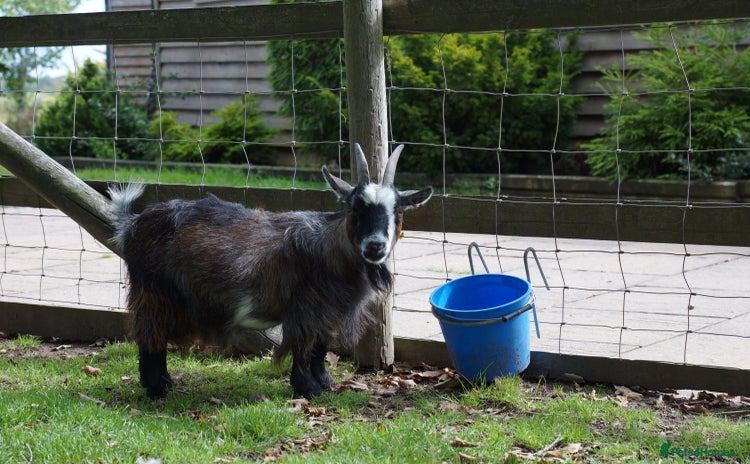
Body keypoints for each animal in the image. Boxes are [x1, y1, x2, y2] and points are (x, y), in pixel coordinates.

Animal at [107, 144, 432, 398]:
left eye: (398, 211)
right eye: (355, 208)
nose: (375, 245)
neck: (330, 249)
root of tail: (133, 224)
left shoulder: (327, 313)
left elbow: (320, 346)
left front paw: (324, 383)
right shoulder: (304, 309)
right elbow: (302, 347)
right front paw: (306, 389)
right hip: (153, 292)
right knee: (150, 336)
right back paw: (157, 387)